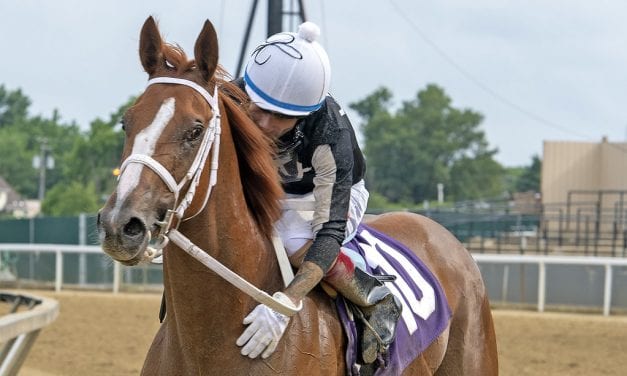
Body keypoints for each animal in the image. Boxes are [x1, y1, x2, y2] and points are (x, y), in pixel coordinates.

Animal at [98, 16, 498, 374]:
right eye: (126, 121)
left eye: (195, 130)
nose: (121, 225)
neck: (207, 342)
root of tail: (442, 234)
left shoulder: (334, 140)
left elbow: (328, 235)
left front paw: (269, 322)